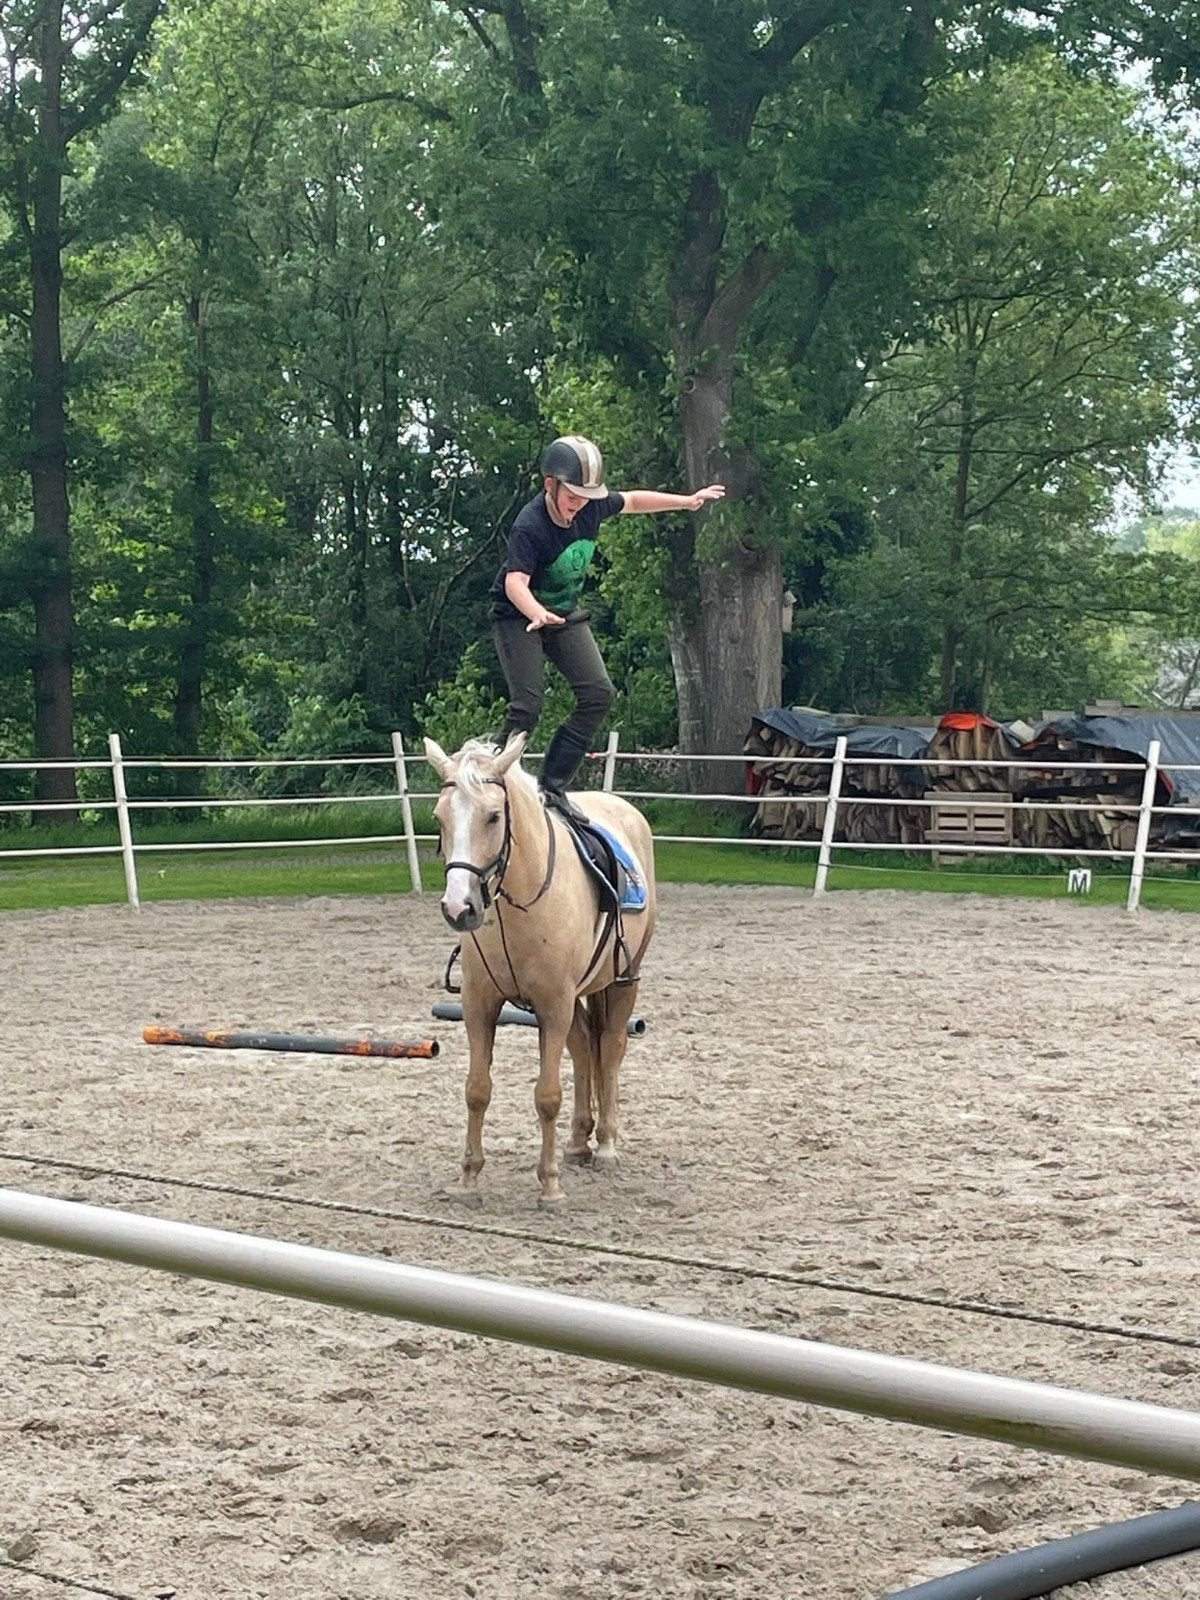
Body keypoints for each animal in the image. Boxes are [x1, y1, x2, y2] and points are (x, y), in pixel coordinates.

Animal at [422, 733, 657, 1207]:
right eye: (440, 817)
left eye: (494, 816)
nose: (459, 908)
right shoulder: (481, 1004)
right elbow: (477, 1090)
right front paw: (468, 1179)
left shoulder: (554, 1005)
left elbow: (548, 1096)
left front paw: (549, 1186)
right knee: (585, 1047)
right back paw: (578, 1142)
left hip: (623, 981)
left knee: (611, 1048)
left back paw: (606, 1145)